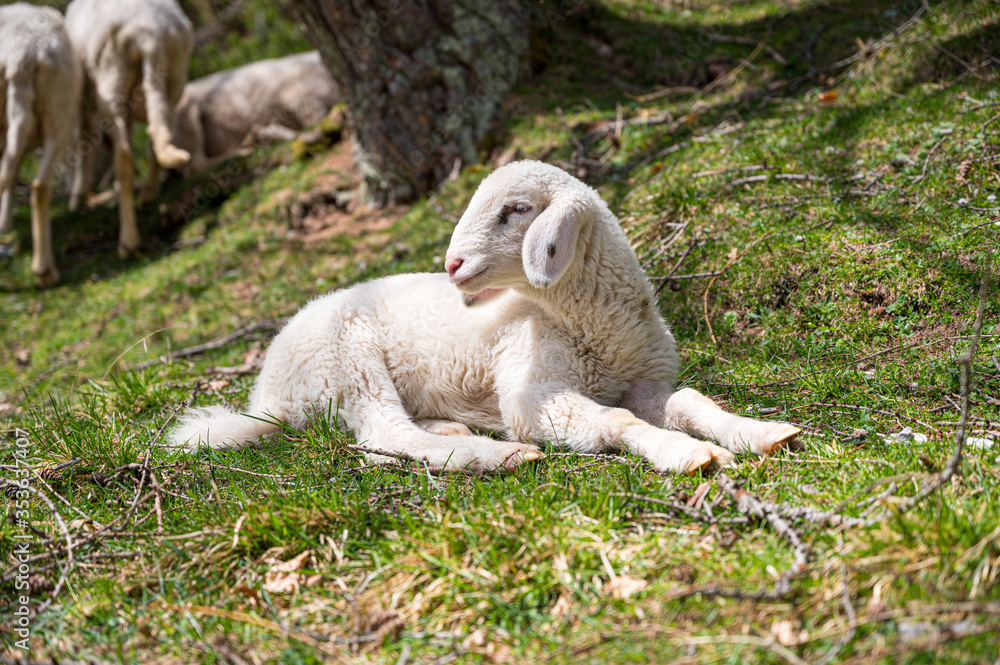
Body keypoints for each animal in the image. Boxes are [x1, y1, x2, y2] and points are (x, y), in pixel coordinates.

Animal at [0, 3, 81, 287]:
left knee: (22, 178)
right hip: (60, 113)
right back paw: (45, 270)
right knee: (38, 185)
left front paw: (5, 222)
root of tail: (24, 53)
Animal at [64, 0, 193, 257]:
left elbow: (84, 141)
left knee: (123, 157)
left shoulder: (83, 102)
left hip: (111, 83)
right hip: (175, 74)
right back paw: (148, 194)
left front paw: (78, 196)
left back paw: (127, 242)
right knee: (158, 129)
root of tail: (149, 32)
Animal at [136, 51, 341, 178]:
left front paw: (265, 134)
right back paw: (242, 151)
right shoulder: (301, 97)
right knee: (195, 166)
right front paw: (266, 135)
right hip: (185, 112)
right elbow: (314, 125)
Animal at [169, 161, 801, 474]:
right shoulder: (532, 394)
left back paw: (451, 428)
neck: (595, 326)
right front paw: (689, 455)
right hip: (344, 362)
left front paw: (760, 433)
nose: (452, 264)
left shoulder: (644, 379)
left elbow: (689, 400)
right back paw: (496, 455)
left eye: (516, 209)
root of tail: (266, 397)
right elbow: (617, 422)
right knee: (383, 434)